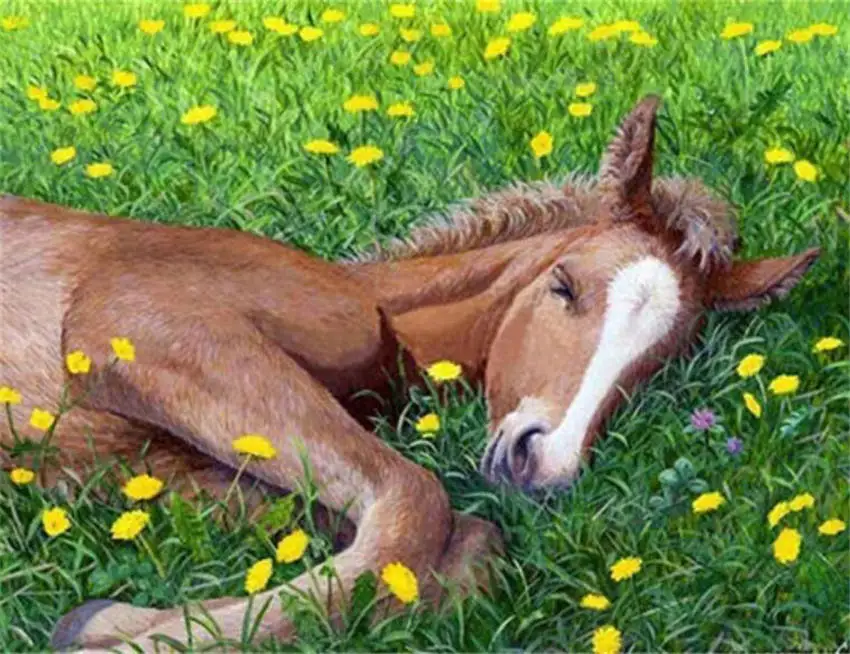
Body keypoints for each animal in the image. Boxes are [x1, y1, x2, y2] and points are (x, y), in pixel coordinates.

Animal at [0, 96, 819, 651]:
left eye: (660, 361)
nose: (544, 467)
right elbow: (416, 504)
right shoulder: (147, 330)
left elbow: (449, 542)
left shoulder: (142, 465)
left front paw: (106, 620)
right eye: (564, 286)